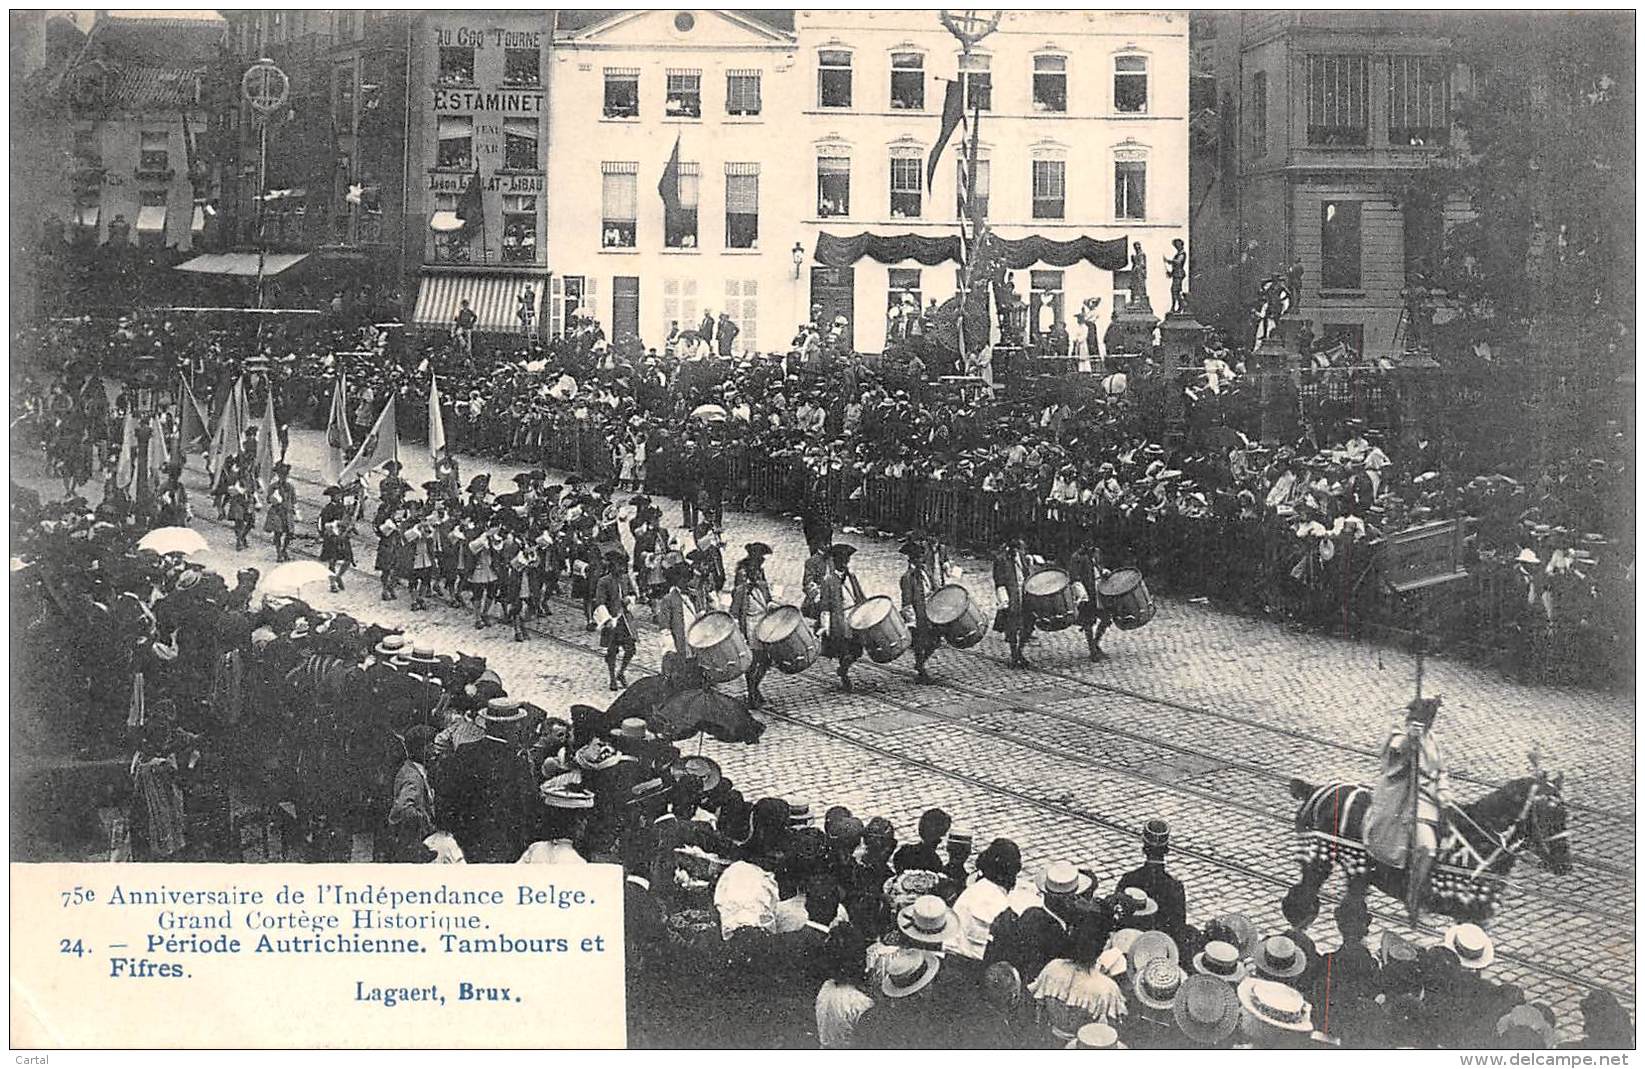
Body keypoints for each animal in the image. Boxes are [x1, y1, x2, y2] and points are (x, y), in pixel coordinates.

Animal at [1283, 756, 1566, 920]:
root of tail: (1315, 789)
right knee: (1304, 898)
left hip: (1357, 874)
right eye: (1547, 815)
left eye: (1565, 813)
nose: (1565, 865)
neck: (1480, 837)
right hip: (1317, 862)